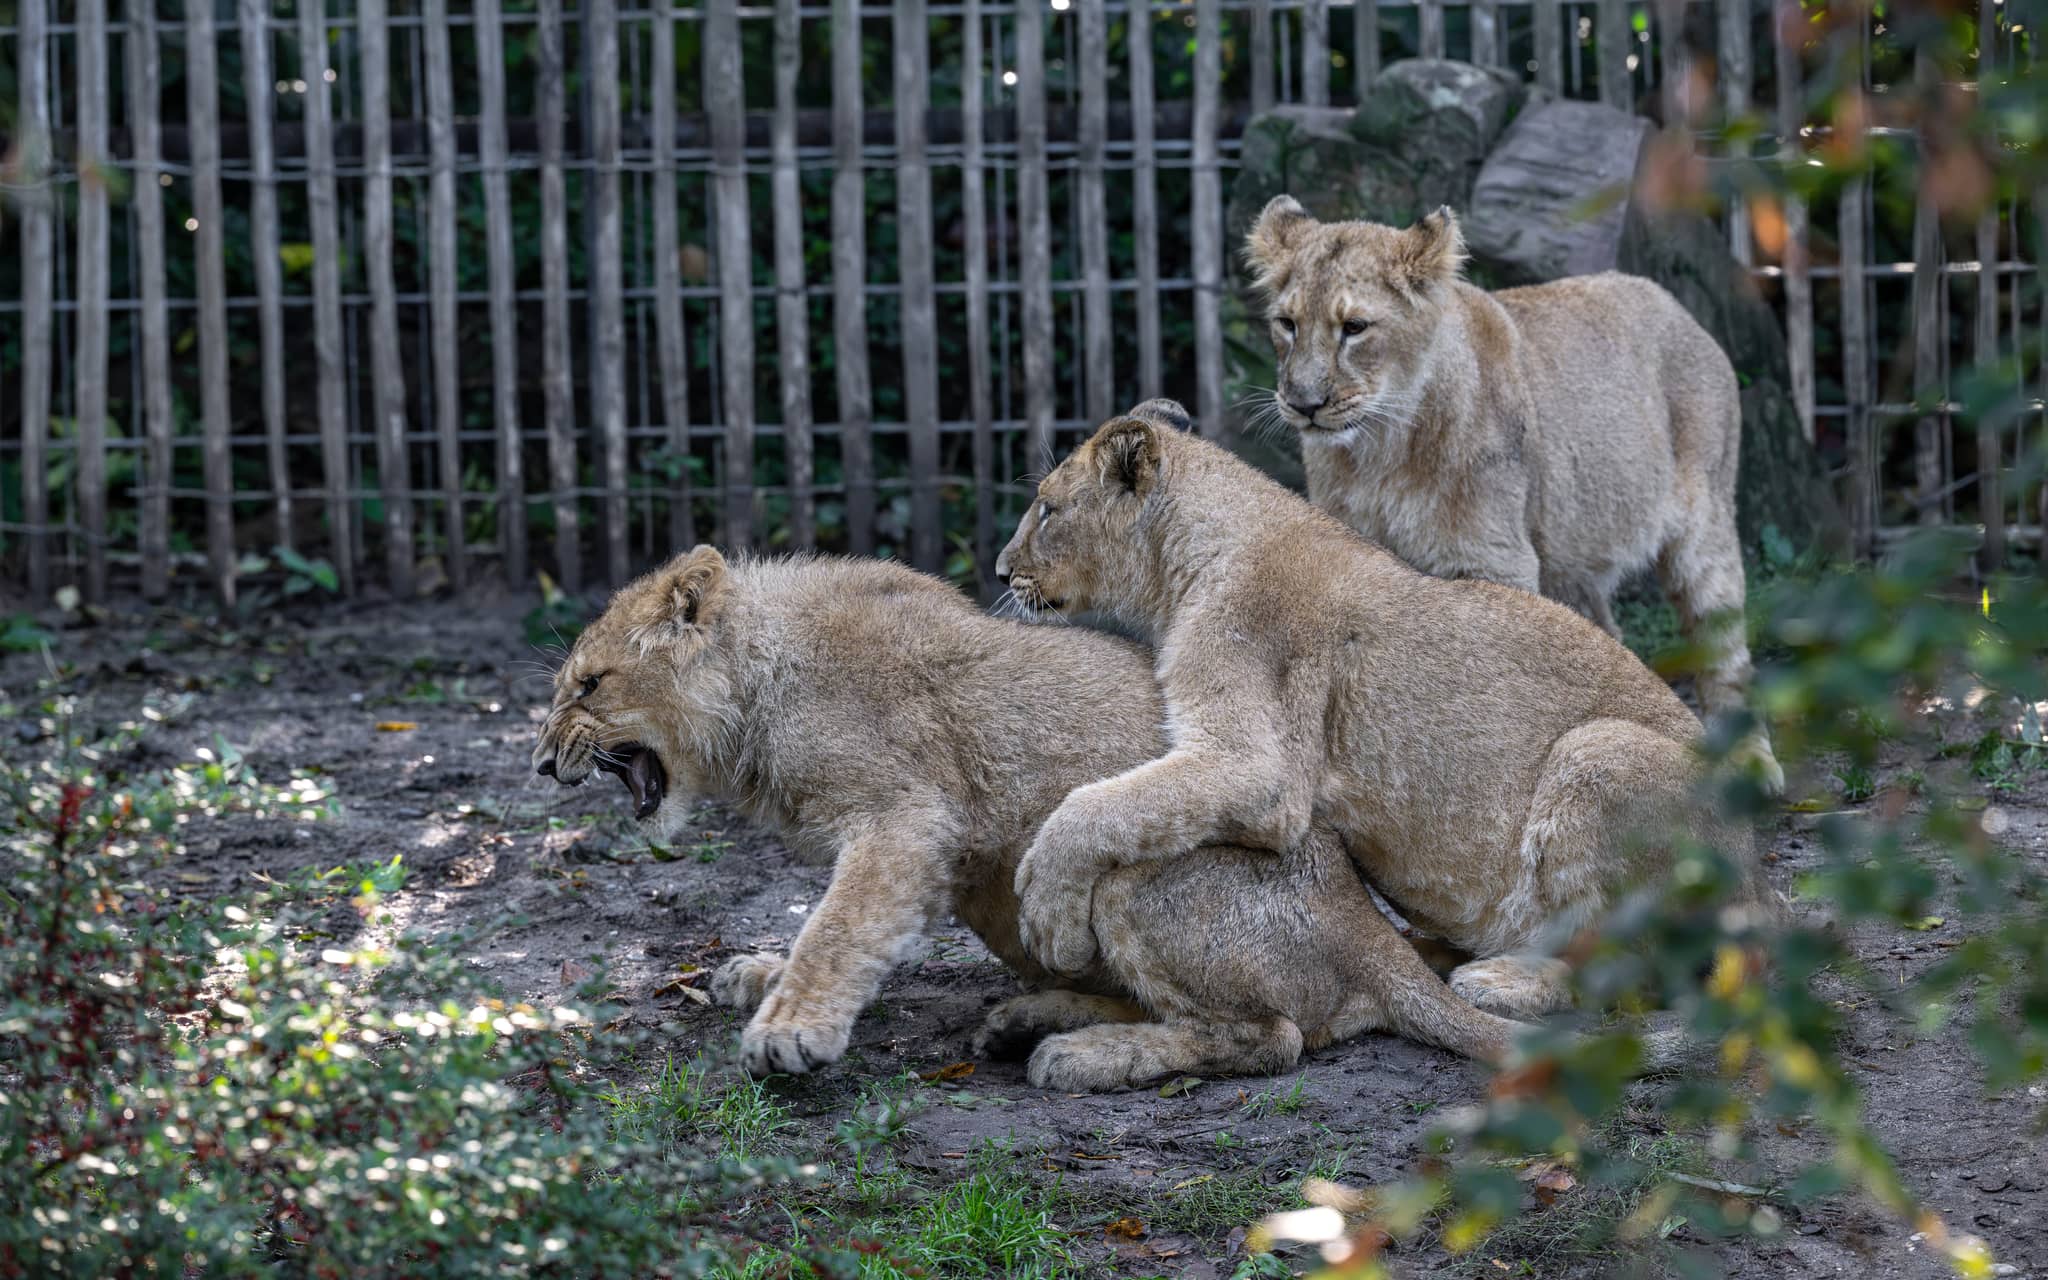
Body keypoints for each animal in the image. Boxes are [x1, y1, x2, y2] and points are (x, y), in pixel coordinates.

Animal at [529, 547, 1523, 1090]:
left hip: (1129, 873)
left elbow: (839, 925)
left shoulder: (904, 818)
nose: (541, 762)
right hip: (999, 892)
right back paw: (1031, 1019)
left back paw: (1084, 1056)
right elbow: (852, 927)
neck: (754, 683)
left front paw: (790, 1028)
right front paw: (762, 976)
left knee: (1270, 1038)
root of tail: (1370, 929)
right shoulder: (939, 855)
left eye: (590, 686)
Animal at [995, 401, 1778, 1018]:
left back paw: (1501, 981)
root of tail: (1755, 881)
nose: (1002, 570)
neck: (1183, 563)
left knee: (1637, 972)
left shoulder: (1259, 769)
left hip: (1598, 752)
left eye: (1047, 508)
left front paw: (1046, 911)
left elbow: (1099, 805)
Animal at [1242, 196, 1779, 790]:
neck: (1379, 451)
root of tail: (1674, 305)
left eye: (1355, 327)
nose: (1304, 403)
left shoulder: (1492, 561)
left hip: (1706, 527)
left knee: (1725, 652)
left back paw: (1751, 764)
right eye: (1287, 324)